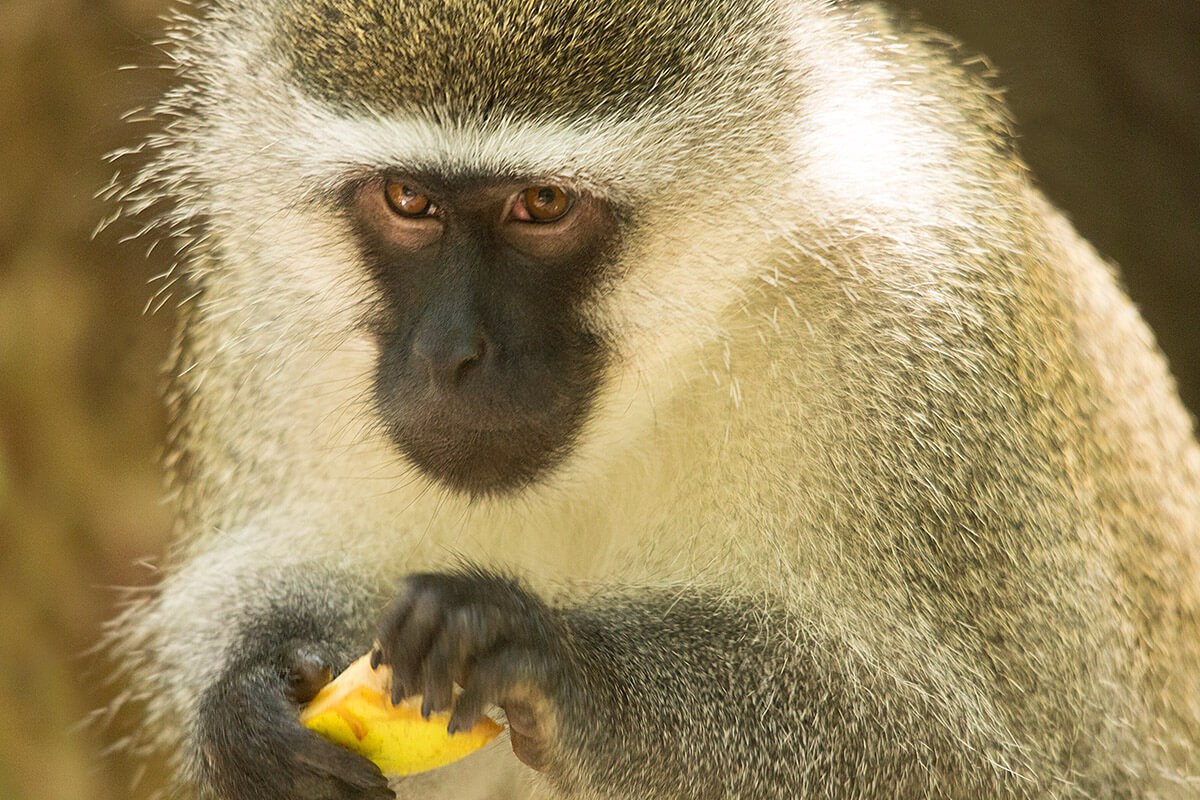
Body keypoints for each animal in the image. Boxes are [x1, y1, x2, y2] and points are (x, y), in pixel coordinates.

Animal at [104, 0, 1200, 798]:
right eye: (409, 202)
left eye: (542, 206)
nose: (452, 353)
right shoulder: (261, 309)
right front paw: (246, 694)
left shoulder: (933, 342)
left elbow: (1008, 775)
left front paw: (570, 668)